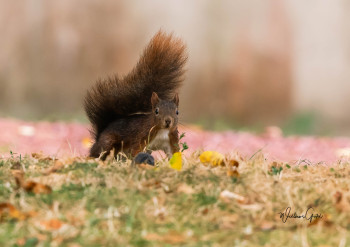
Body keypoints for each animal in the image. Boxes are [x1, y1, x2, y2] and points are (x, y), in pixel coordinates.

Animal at [83, 30, 187, 160]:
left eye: (177, 112)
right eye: (156, 111)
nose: (168, 121)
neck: (162, 131)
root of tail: (100, 135)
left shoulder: (171, 139)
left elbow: (174, 154)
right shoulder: (141, 136)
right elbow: (136, 150)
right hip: (108, 142)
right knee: (100, 151)